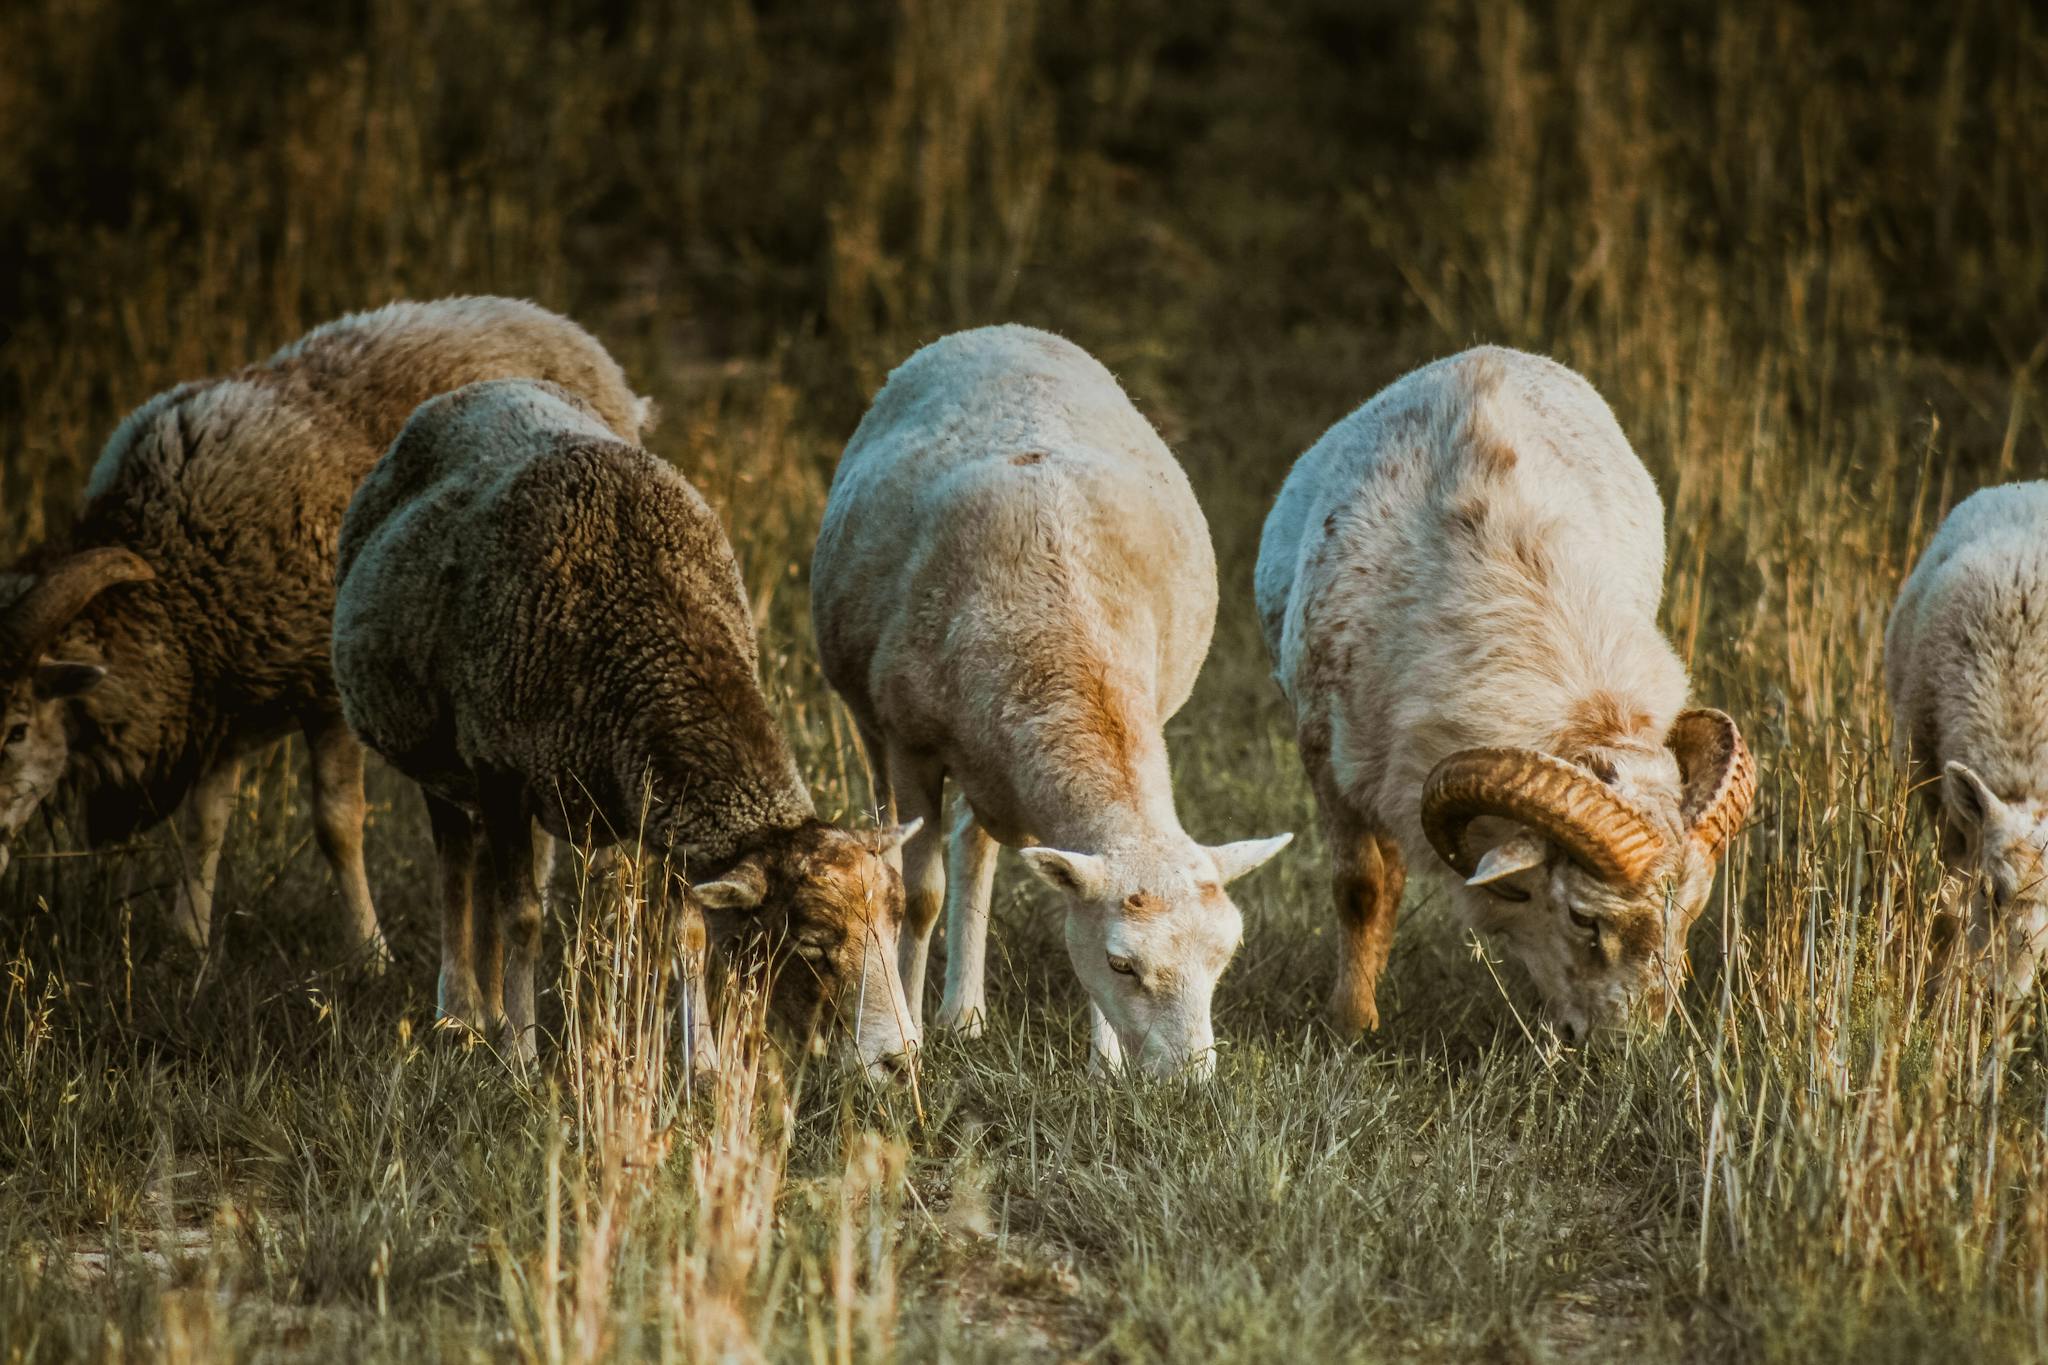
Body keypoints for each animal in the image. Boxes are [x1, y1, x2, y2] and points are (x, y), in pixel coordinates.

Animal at [0, 298, 647, 961]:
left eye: (17, 730)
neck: (172, 577)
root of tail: (550, 321)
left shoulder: (325, 690)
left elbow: (336, 824)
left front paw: (370, 953)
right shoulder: (225, 697)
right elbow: (206, 823)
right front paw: (191, 941)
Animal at [337, 378, 921, 1072]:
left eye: (897, 920)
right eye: (808, 943)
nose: (899, 1061)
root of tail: (482, 386)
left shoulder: (670, 809)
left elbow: (689, 934)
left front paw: (703, 1063)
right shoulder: (499, 766)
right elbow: (521, 917)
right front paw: (521, 1055)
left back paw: (485, 1010)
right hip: (442, 754)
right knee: (456, 866)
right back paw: (458, 1013)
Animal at [806, 325, 1286, 1080]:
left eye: (1225, 954)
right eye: (1122, 964)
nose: (1190, 1083)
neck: (1064, 653)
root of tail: (1001, 331)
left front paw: (1104, 1066)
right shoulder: (913, 742)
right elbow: (919, 897)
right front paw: (907, 1035)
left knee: (974, 845)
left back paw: (965, 1015)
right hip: (874, 724)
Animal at [1253, 347, 1753, 1039]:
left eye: (1692, 915)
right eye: (1582, 918)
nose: (1628, 1051)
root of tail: (1488, 354)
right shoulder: (1326, 756)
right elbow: (1360, 889)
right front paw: (1352, 1025)